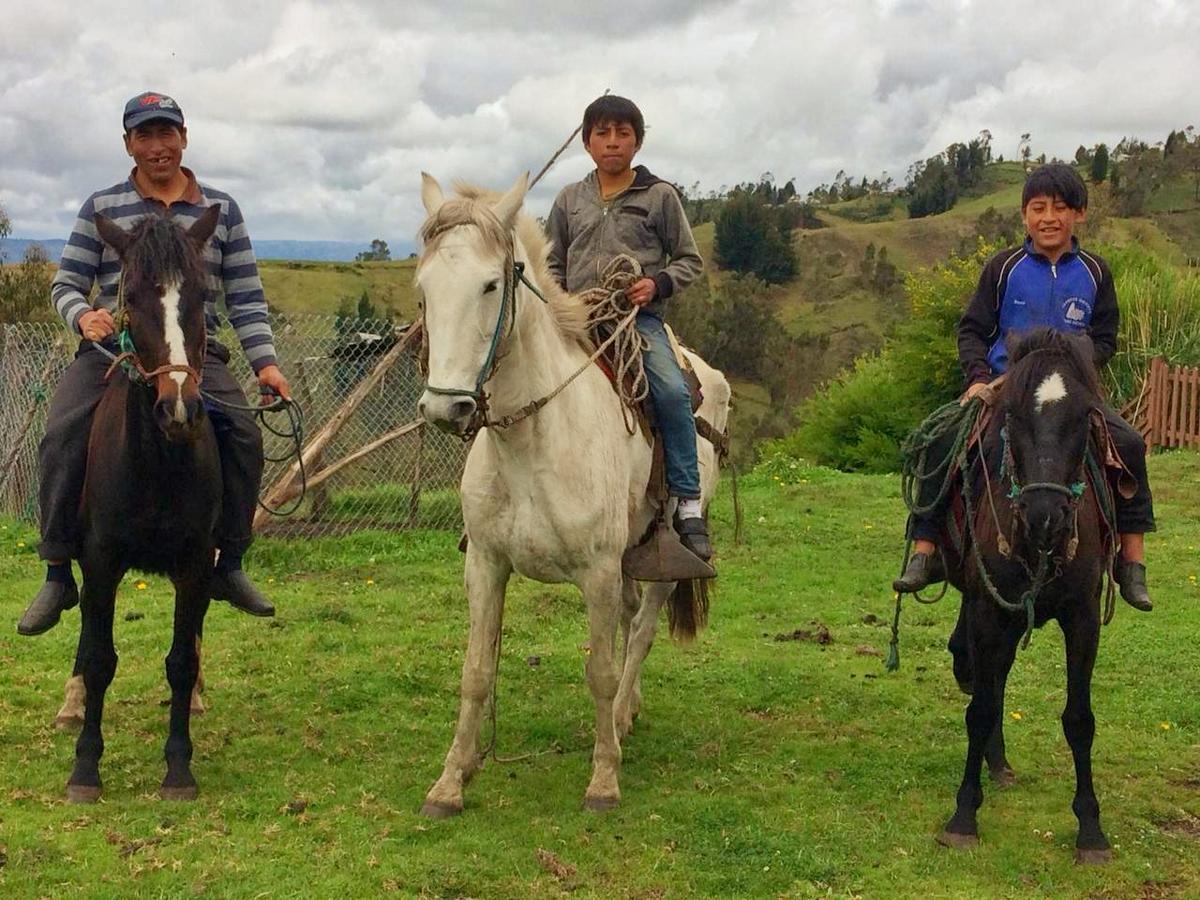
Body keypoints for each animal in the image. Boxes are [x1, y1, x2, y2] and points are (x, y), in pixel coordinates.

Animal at [65, 207, 223, 806]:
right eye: (130, 296)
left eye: (202, 295)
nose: (179, 408)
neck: (157, 466)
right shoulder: (101, 561)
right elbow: (99, 659)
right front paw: (85, 768)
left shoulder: (195, 564)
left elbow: (180, 661)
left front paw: (178, 769)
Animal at [412, 170, 729, 816]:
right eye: (425, 288)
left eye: (490, 285)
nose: (444, 408)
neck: (531, 441)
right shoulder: (486, 565)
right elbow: (476, 671)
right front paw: (452, 780)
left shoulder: (598, 571)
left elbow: (600, 671)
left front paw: (604, 779)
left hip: (660, 559)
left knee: (643, 629)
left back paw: (622, 716)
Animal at [936, 328, 1113, 864]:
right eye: (1012, 414)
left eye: (1083, 416)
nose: (1044, 516)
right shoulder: (988, 611)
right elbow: (980, 709)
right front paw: (963, 817)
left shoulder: (1083, 619)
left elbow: (1079, 719)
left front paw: (1091, 830)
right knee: (986, 678)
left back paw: (998, 762)